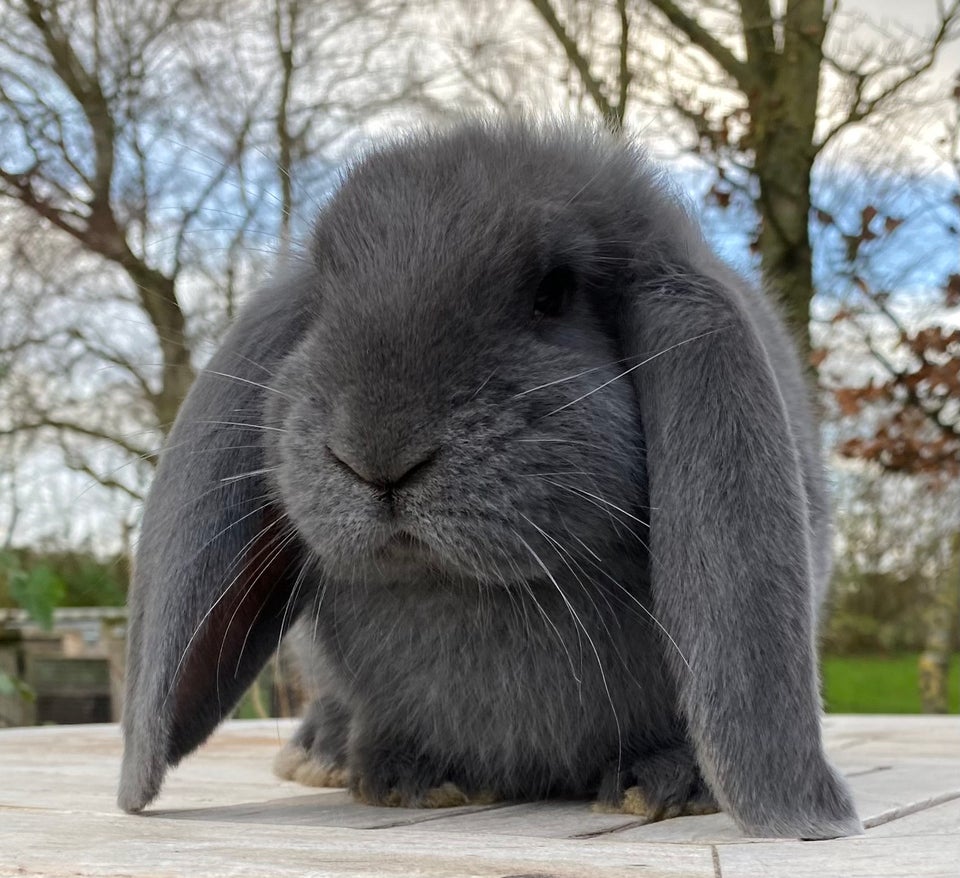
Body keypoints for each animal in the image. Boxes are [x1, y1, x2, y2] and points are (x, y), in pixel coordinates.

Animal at [118, 117, 864, 840]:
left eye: (553, 293)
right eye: (322, 298)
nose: (377, 454)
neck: (473, 592)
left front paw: (668, 785)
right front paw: (409, 778)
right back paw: (323, 754)